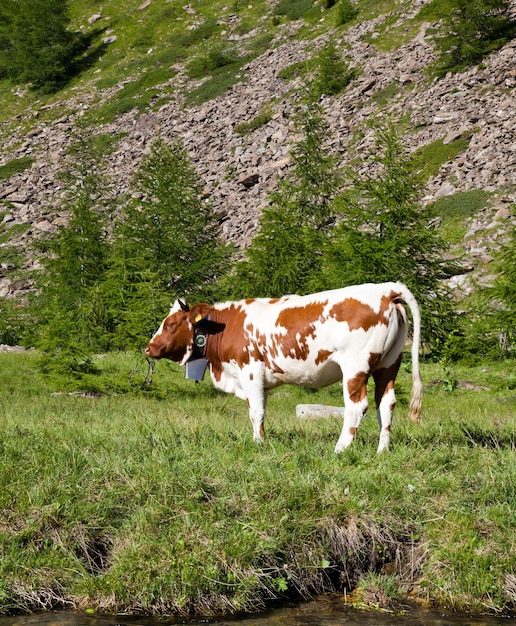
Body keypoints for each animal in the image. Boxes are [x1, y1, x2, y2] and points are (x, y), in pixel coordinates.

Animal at [145, 280, 424, 450]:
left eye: (170, 324)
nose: (148, 347)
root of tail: (386, 289)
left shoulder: (250, 372)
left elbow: (256, 412)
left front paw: (258, 444)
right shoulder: (261, 382)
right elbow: (259, 411)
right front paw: (260, 439)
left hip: (356, 366)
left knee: (357, 406)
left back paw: (340, 449)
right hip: (389, 364)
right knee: (386, 404)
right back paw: (382, 450)